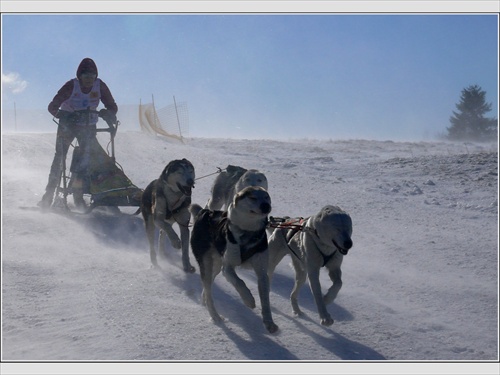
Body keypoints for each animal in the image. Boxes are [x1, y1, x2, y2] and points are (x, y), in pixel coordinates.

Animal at [190, 187, 278, 334]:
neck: (248, 232)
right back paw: (215, 316)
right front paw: (249, 300)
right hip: (207, 264)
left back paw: (204, 300)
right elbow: (239, 282)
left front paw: (269, 323)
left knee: (208, 287)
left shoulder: (262, 272)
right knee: (208, 289)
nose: (266, 206)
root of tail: (206, 212)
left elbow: (265, 300)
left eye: (266, 197)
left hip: (216, 265)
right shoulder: (228, 268)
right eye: (252, 197)